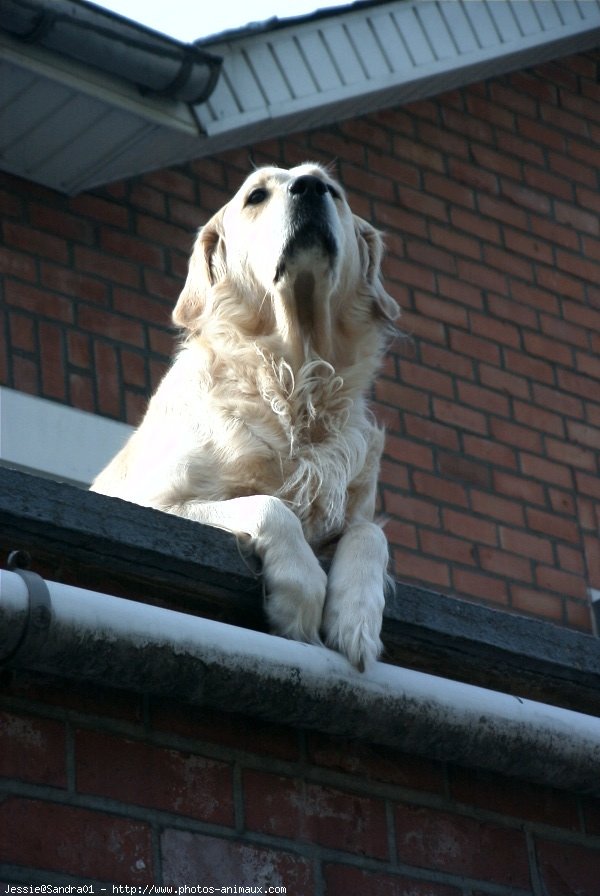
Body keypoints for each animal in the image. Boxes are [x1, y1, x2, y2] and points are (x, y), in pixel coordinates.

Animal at [91, 164, 396, 672]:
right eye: (256, 196)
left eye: (333, 191)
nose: (310, 188)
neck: (296, 383)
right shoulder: (154, 501)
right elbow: (269, 505)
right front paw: (300, 599)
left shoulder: (354, 515)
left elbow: (370, 533)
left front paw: (355, 620)